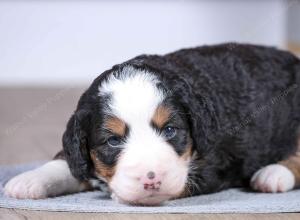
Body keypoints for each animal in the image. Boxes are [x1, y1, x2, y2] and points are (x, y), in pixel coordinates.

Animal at [3, 43, 300, 205]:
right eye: (113, 140)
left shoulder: (217, 162)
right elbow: (67, 162)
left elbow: (184, 180)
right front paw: (29, 180)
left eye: (170, 130)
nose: (151, 178)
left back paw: (272, 175)